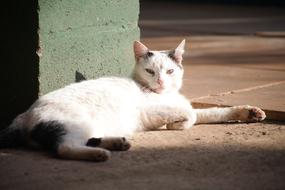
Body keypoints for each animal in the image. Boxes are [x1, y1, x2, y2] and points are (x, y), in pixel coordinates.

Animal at [0, 39, 266, 161]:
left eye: (170, 71)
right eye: (150, 71)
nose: (161, 82)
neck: (164, 95)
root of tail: (23, 116)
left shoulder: (184, 105)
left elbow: (211, 112)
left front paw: (249, 112)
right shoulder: (151, 112)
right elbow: (190, 115)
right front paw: (177, 125)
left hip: (88, 127)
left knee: (84, 140)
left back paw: (117, 143)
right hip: (74, 123)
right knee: (64, 147)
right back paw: (100, 154)